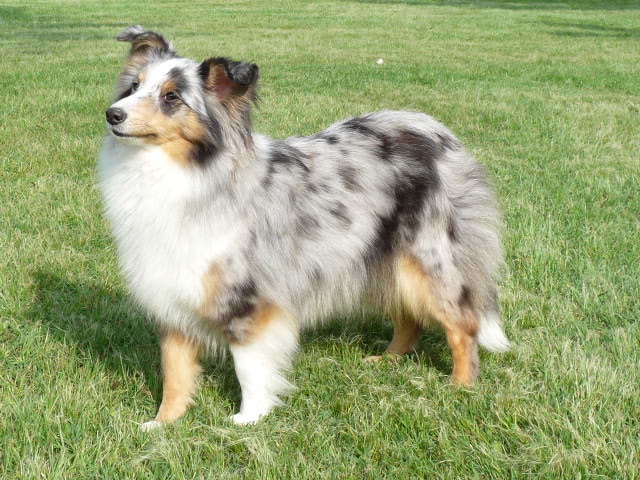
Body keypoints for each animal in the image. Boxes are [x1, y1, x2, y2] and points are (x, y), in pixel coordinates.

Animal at [98, 26, 509, 428]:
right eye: (133, 87)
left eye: (171, 97)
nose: (112, 114)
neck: (183, 171)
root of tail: (435, 128)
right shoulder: (173, 294)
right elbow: (175, 371)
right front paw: (163, 423)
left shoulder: (250, 301)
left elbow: (249, 367)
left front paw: (248, 420)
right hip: (385, 258)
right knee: (409, 316)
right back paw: (388, 361)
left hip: (426, 258)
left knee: (463, 324)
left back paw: (460, 388)